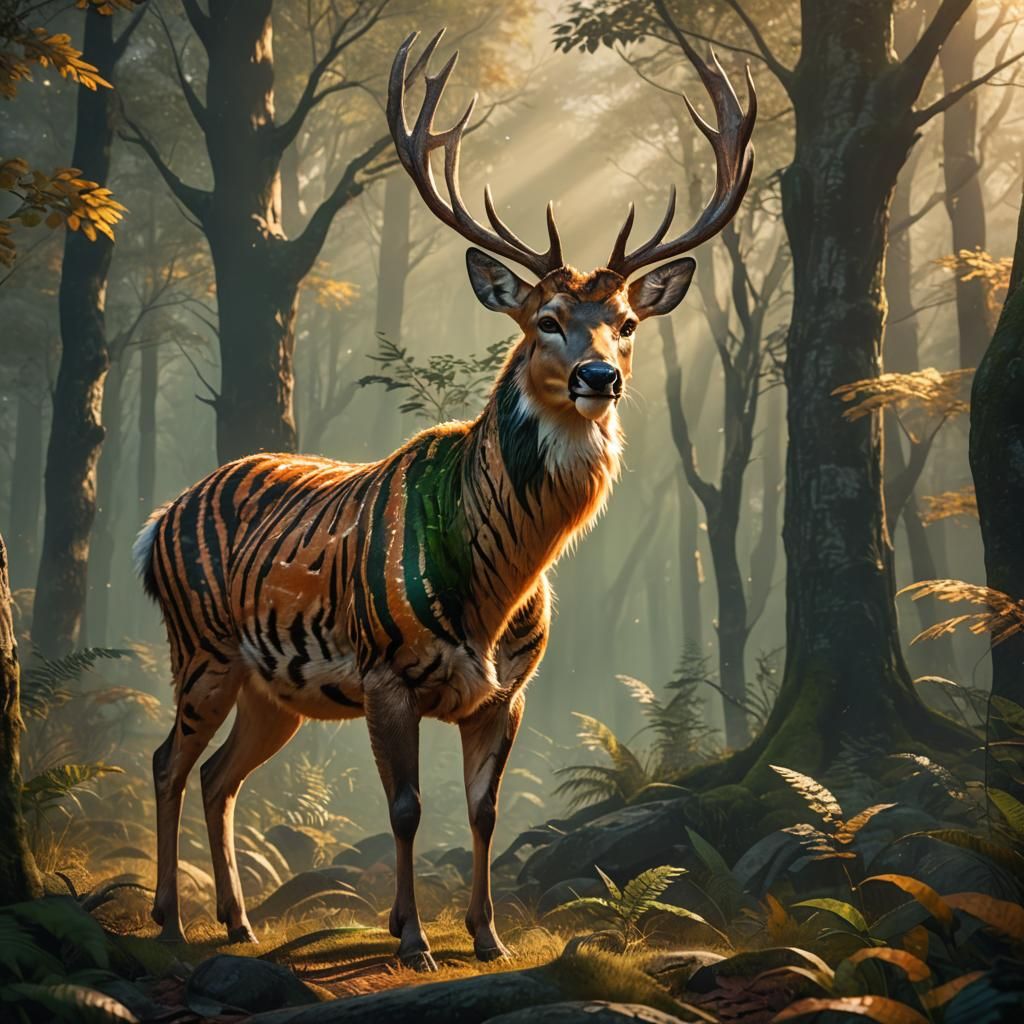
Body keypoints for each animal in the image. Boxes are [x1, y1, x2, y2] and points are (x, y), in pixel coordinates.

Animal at [133, 28, 755, 971]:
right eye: (543, 320)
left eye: (627, 324)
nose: (599, 377)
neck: (491, 595)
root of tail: (154, 523)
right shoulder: (384, 673)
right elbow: (406, 808)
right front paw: (414, 940)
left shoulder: (508, 690)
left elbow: (485, 810)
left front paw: (487, 935)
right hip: (200, 646)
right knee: (168, 760)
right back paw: (171, 917)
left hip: (272, 687)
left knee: (217, 773)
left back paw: (237, 921)